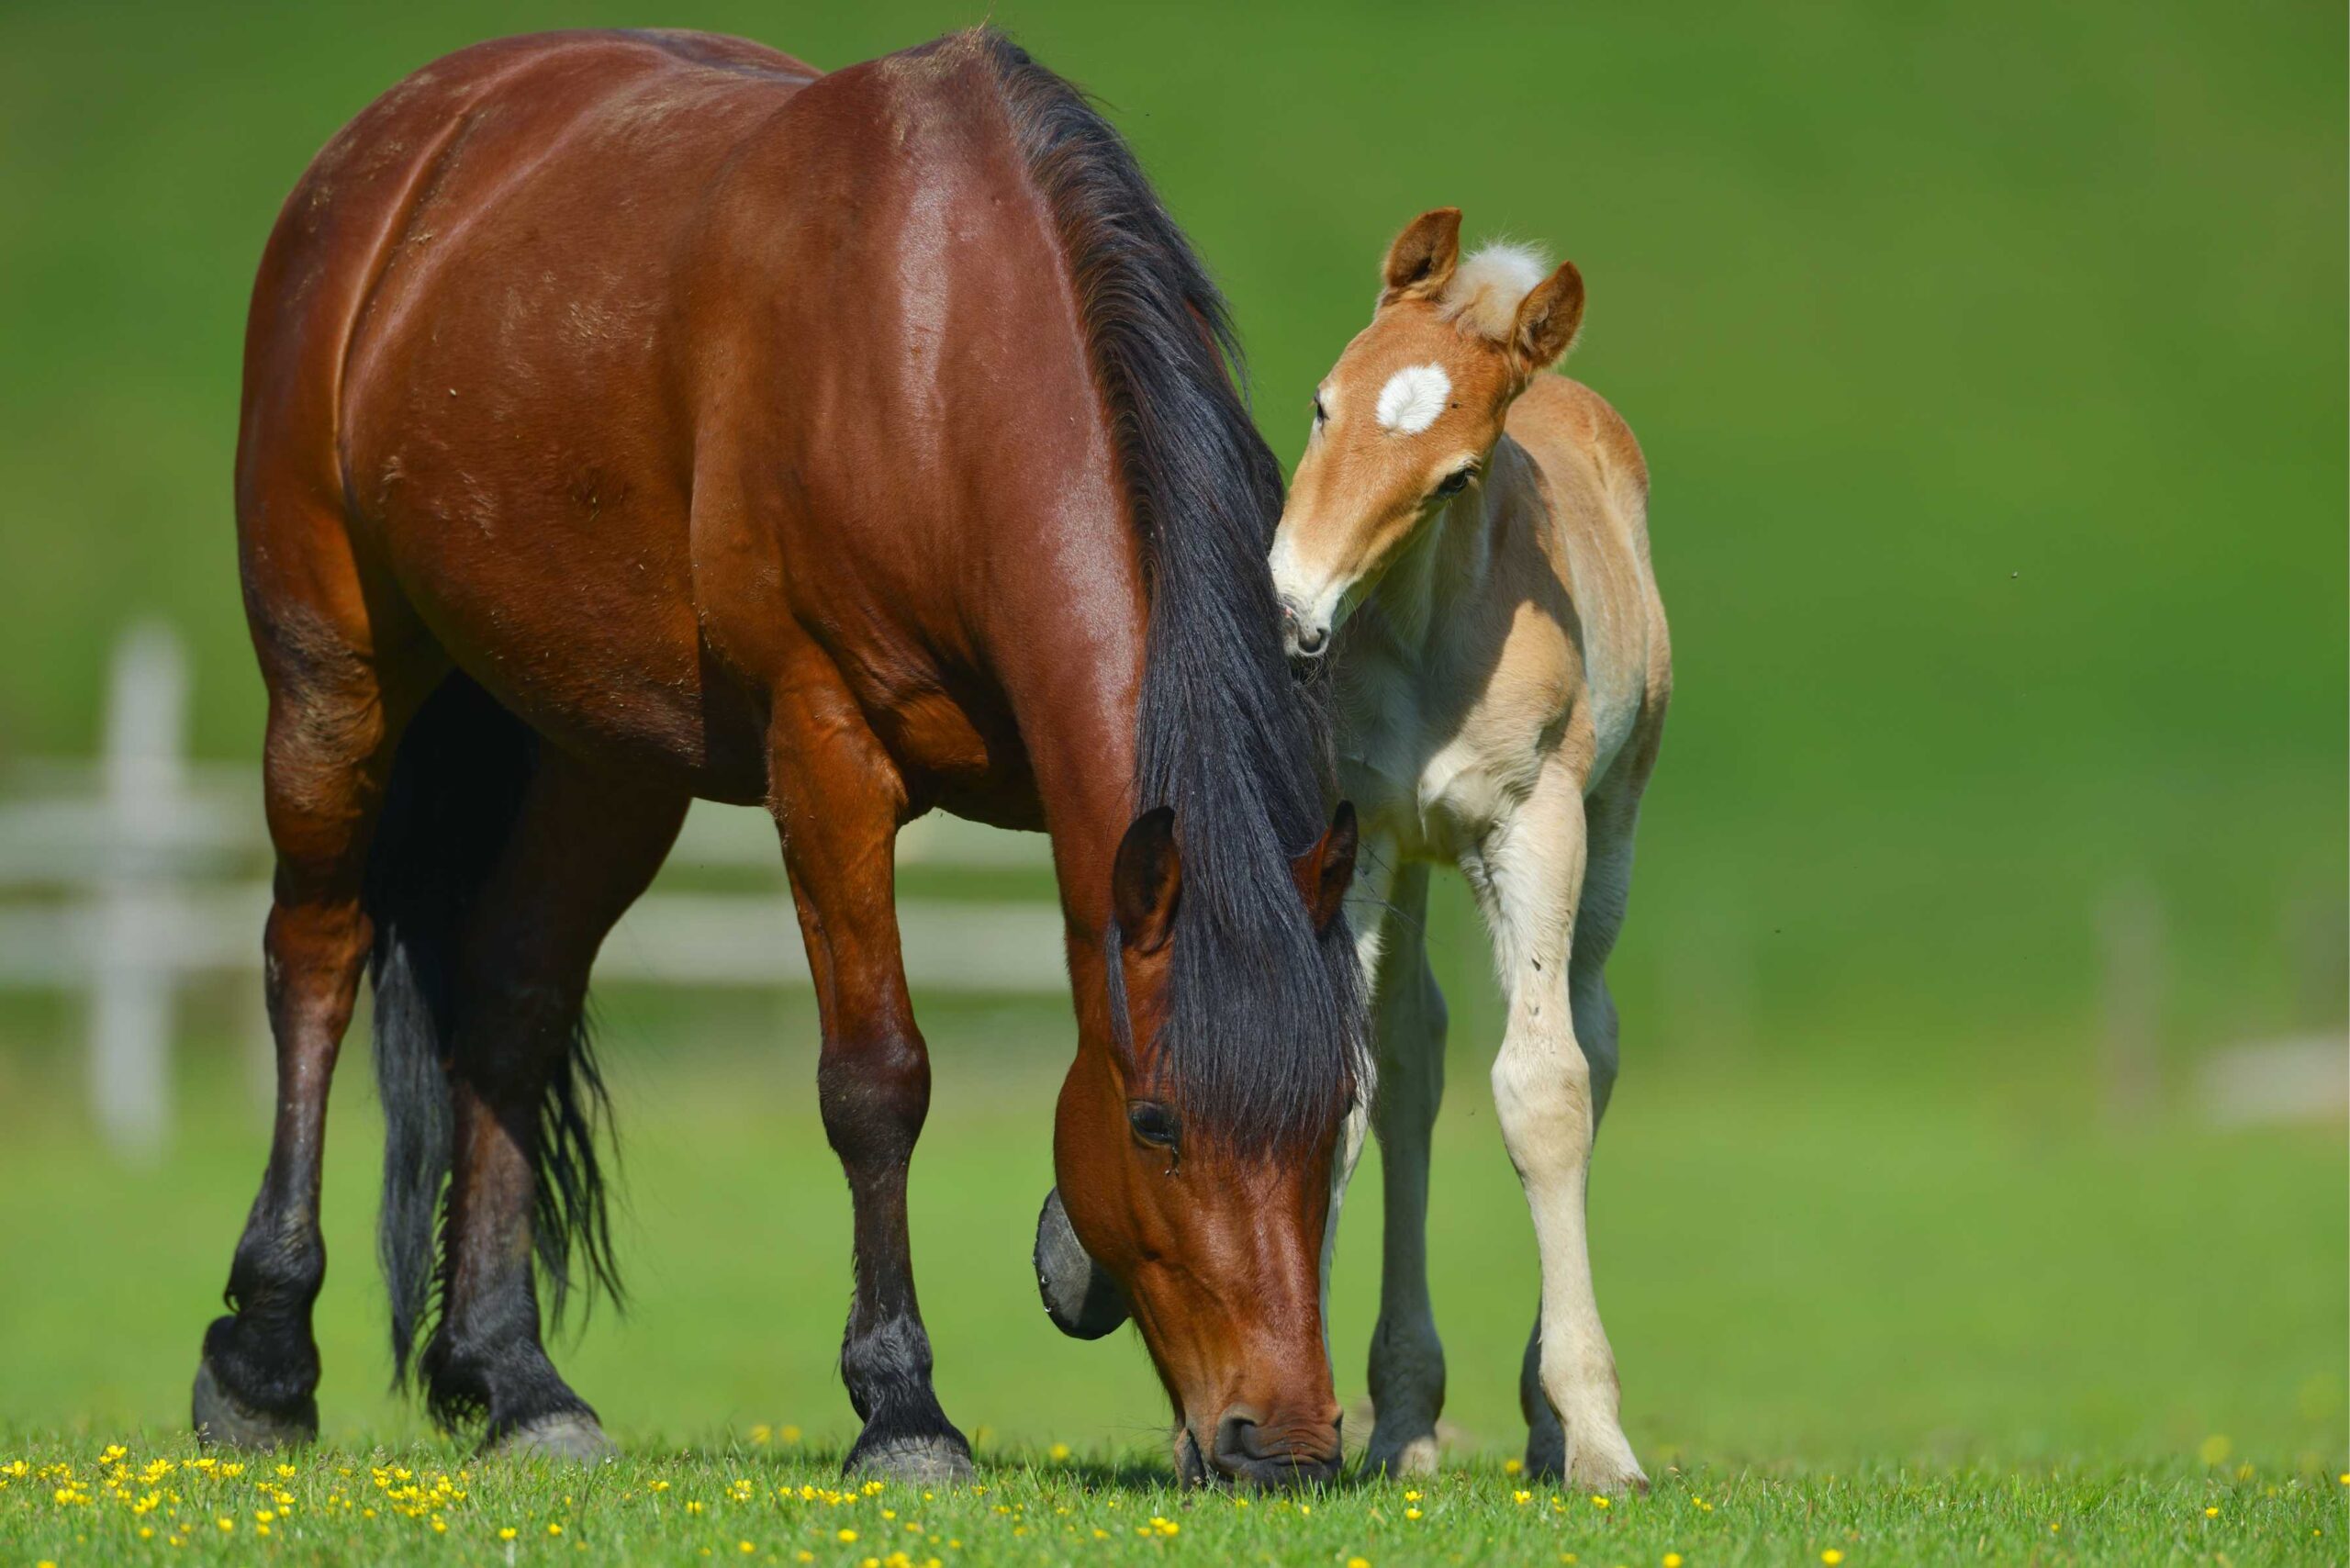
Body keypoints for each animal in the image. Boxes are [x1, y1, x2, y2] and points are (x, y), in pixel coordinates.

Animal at [192, 27, 1364, 1487]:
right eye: (1158, 1126)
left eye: (1337, 1113)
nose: (1291, 1444)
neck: (939, 351)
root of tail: (399, 146)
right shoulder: (826, 756)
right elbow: (878, 1081)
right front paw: (904, 1409)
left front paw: (1069, 1263)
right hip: (331, 674)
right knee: (316, 956)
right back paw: (264, 1357)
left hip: (604, 757)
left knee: (511, 999)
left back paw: (518, 1381)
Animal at [1268, 209, 1671, 1492]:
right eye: (1320, 404)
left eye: (1455, 475)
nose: (1294, 607)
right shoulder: (1359, 836)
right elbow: (1346, 1082)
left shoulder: (1535, 826)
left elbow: (1544, 1091)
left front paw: (1597, 1437)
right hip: (1410, 866)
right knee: (1411, 1064)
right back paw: (1404, 1418)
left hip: (1611, 831)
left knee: (1591, 1039)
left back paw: (1544, 1417)